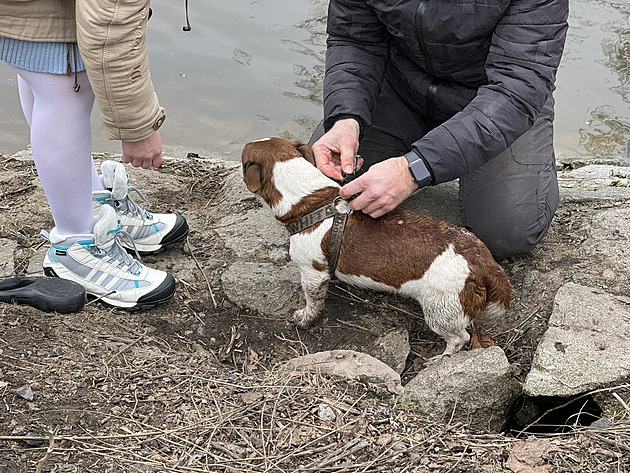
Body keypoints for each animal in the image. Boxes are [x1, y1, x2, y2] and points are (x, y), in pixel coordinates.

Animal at [243, 136, 512, 354]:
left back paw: (440, 359)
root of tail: (485, 264)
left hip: (441, 311)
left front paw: (304, 318)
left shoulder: (312, 273)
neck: (309, 200)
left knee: (460, 338)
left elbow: (313, 302)